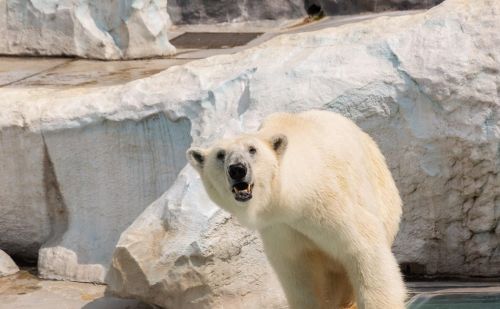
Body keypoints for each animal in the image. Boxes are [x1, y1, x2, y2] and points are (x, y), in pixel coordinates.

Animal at [188, 110, 406, 308]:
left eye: (252, 149)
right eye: (220, 154)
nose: (237, 169)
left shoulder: (329, 204)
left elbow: (364, 247)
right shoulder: (280, 228)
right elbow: (298, 273)